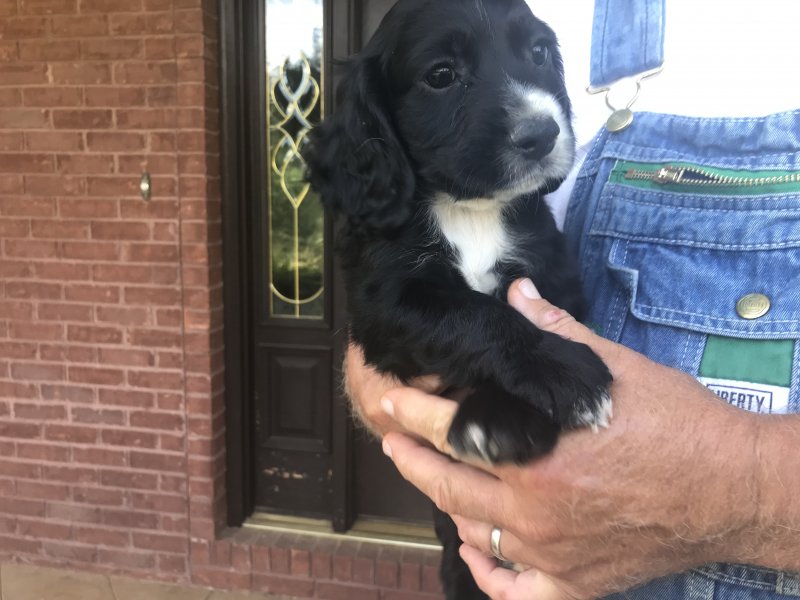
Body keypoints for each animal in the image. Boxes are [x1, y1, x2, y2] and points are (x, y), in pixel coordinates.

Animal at [306, 1, 612, 596]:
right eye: (442, 75)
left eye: (538, 52)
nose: (541, 133)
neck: (470, 209)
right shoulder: (384, 305)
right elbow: (475, 316)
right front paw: (561, 376)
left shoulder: (555, 278)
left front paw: (499, 418)